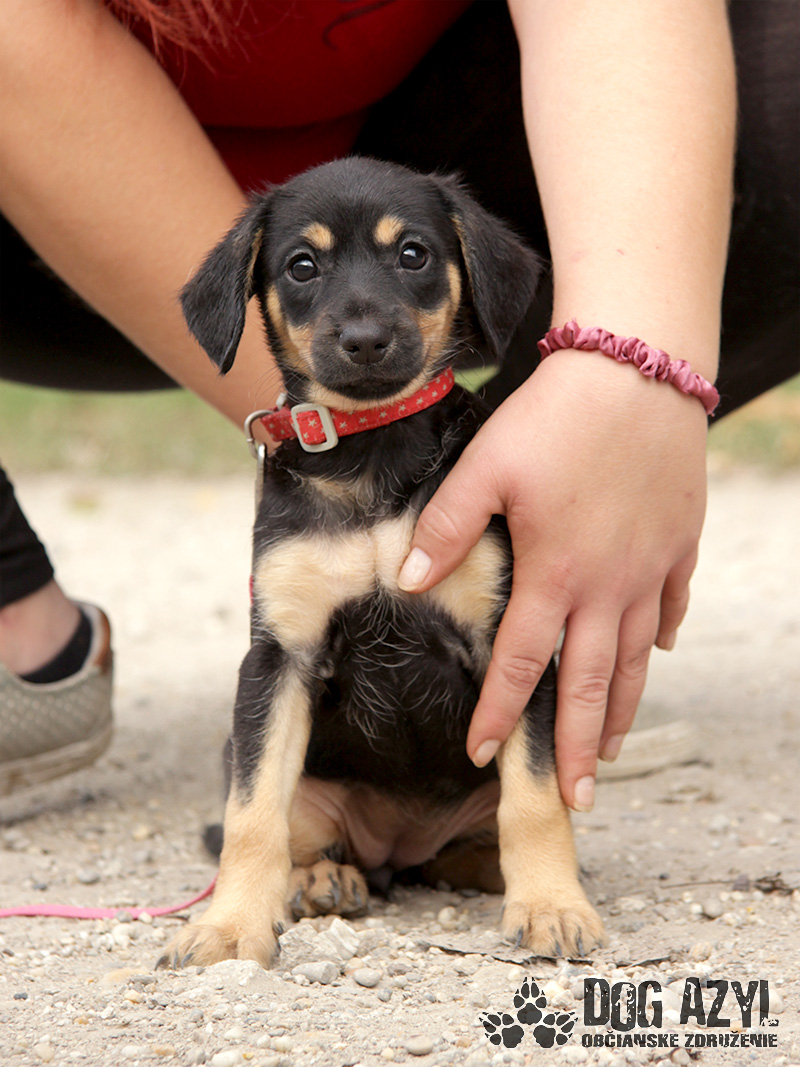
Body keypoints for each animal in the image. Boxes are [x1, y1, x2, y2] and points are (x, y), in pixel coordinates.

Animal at [162, 157, 605, 968]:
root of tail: (399, 844)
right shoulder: (279, 659)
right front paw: (230, 925)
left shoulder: (511, 646)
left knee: (477, 840)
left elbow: (534, 800)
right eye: (302, 267)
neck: (369, 456)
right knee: (307, 837)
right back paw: (319, 881)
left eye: (414, 255)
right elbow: (250, 814)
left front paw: (551, 906)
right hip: (299, 780)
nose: (366, 339)